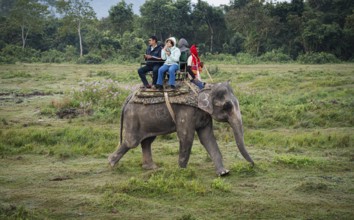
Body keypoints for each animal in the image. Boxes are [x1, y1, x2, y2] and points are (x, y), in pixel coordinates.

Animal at [108, 81, 254, 176]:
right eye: (227, 106)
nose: (253, 165)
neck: (204, 89)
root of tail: (128, 97)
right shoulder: (186, 112)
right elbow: (186, 137)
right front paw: (182, 172)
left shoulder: (204, 115)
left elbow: (207, 138)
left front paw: (223, 173)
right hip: (133, 116)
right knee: (131, 142)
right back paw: (111, 164)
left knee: (147, 141)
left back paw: (151, 167)